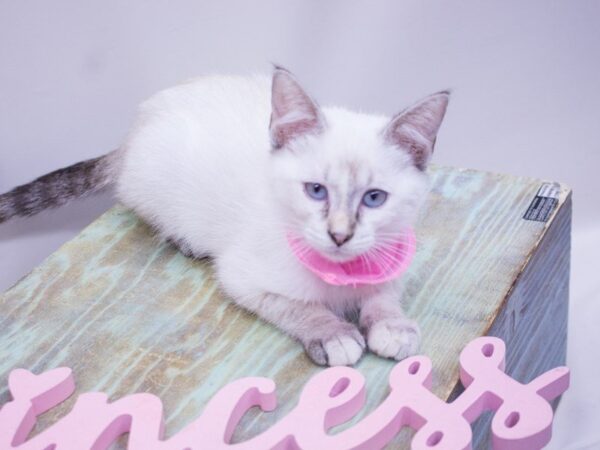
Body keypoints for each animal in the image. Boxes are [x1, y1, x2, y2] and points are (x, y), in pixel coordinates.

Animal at [0, 68, 448, 368]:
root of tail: (138, 125)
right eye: (316, 191)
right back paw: (184, 241)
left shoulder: (393, 256)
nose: (339, 236)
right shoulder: (242, 278)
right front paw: (336, 334)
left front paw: (393, 327)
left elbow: (384, 295)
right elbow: (299, 307)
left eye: (374, 199)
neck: (339, 275)